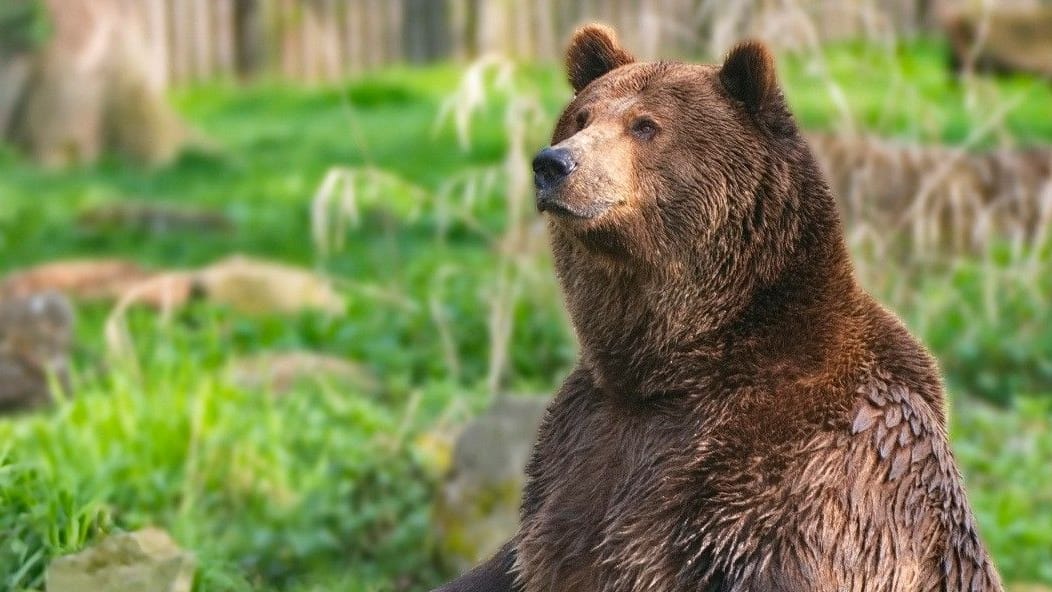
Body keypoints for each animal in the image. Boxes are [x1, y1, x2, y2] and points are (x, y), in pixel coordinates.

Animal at [433, 24, 1001, 592]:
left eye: (645, 125)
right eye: (581, 116)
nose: (552, 163)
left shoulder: (811, 478)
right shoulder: (579, 446)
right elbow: (524, 552)